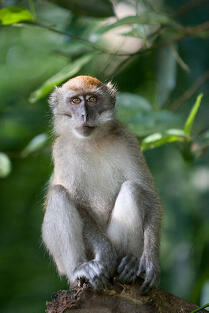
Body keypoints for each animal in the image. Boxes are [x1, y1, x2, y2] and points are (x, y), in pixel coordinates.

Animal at [42, 74, 162, 292]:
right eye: (75, 101)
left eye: (92, 99)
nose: (84, 115)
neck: (92, 141)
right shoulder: (61, 149)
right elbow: (76, 201)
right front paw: (105, 252)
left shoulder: (127, 139)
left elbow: (149, 195)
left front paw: (151, 261)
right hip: (65, 262)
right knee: (59, 194)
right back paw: (80, 268)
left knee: (132, 188)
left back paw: (129, 263)